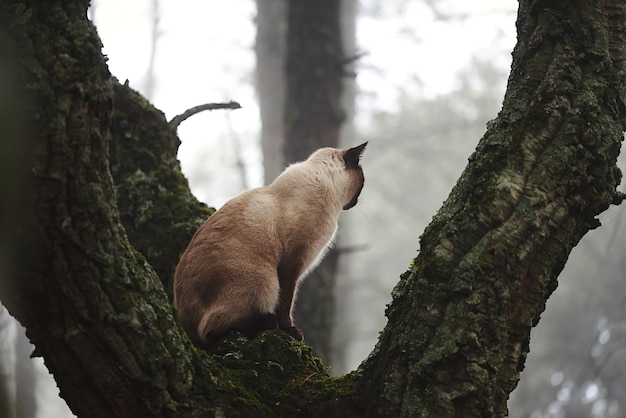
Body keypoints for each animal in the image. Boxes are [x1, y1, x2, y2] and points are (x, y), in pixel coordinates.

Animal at [172, 142, 366, 348]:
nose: (355, 202)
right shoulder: (293, 263)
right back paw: (267, 322)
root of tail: (185, 327)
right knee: (210, 331)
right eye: (362, 183)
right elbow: (286, 302)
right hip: (263, 282)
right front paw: (290, 331)